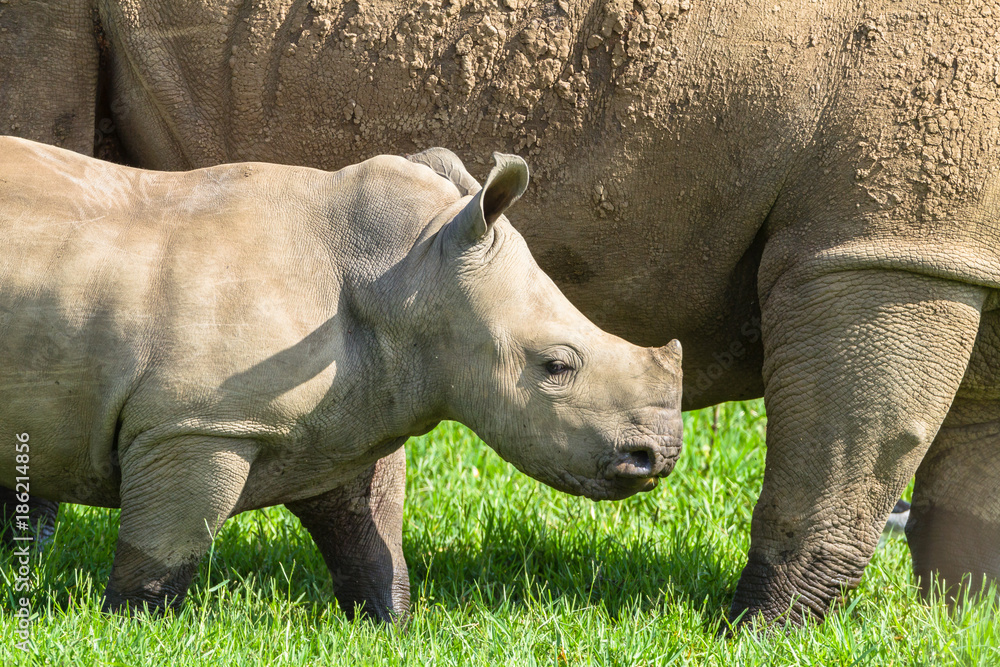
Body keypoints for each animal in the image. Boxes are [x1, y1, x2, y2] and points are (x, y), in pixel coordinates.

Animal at [0, 137, 682, 618]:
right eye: (557, 366)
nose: (662, 456)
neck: (406, 276)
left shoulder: (350, 414)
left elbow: (371, 536)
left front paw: (391, 626)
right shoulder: (197, 424)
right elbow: (164, 549)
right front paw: (132, 627)